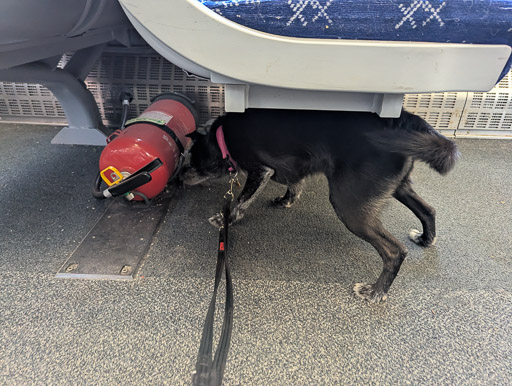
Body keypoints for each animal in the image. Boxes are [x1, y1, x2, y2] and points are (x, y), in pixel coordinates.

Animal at [182, 108, 458, 302]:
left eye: (193, 161)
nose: (180, 179)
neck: (222, 138)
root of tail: (406, 122)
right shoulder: (290, 168)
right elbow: (294, 185)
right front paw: (286, 200)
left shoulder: (260, 170)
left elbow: (241, 201)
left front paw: (225, 218)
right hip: (398, 187)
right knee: (428, 210)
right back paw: (425, 239)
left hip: (350, 205)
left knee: (394, 251)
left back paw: (375, 292)